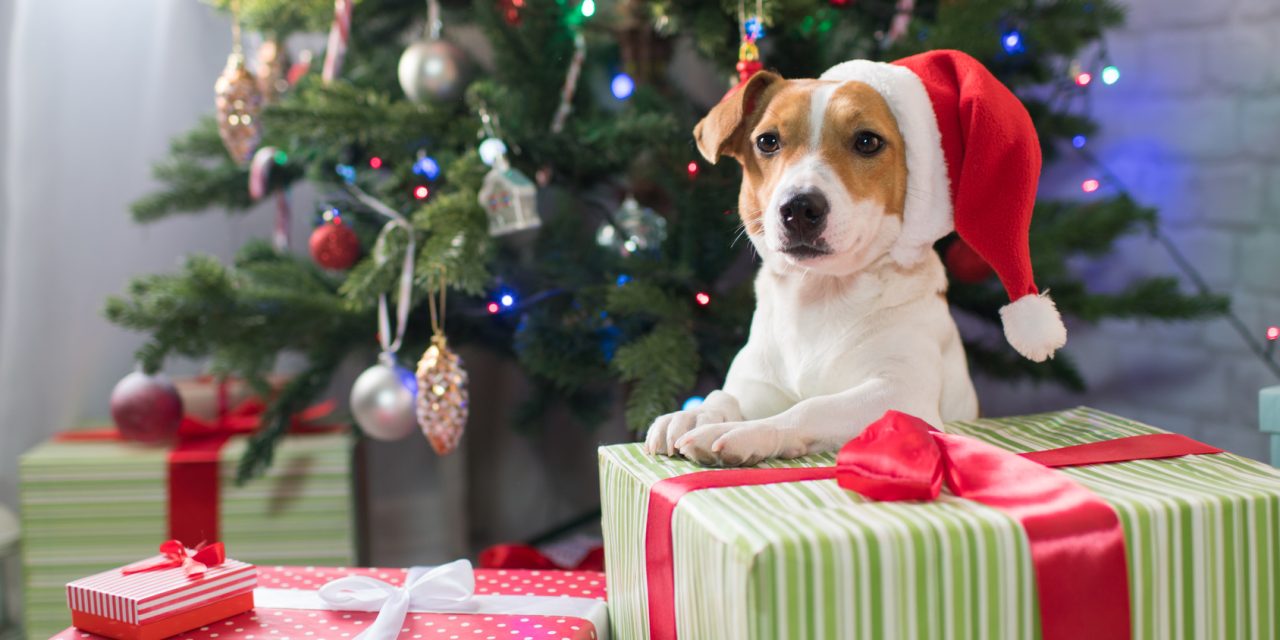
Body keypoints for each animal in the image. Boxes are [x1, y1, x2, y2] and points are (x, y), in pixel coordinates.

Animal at [645, 52, 1064, 465]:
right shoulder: (755, 386)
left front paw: (745, 433)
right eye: (767, 141)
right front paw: (695, 414)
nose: (799, 208)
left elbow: (810, 407)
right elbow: (723, 396)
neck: (819, 296)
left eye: (867, 141)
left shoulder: (901, 394)